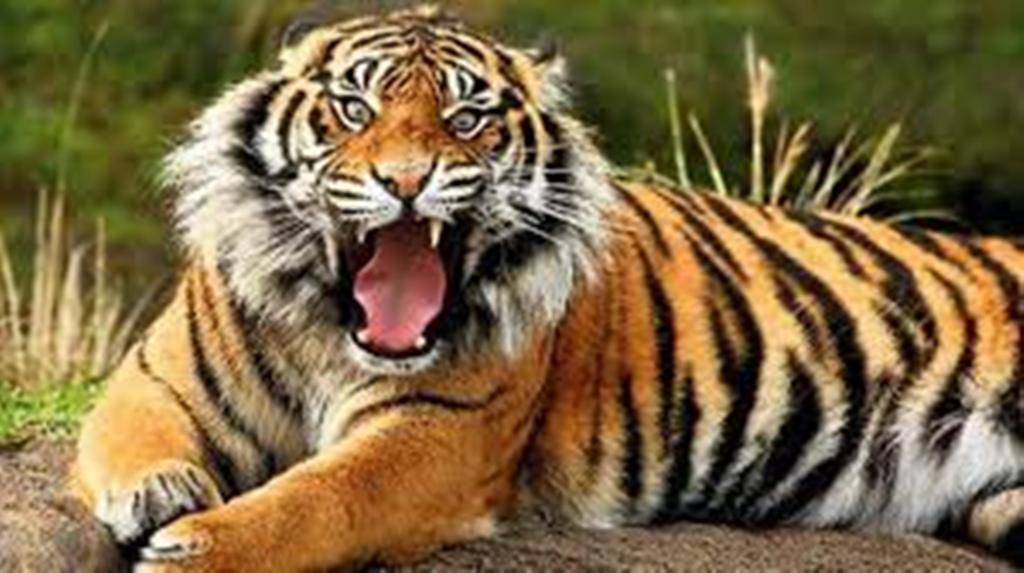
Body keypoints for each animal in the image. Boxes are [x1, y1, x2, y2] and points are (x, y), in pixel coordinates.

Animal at [72, 5, 1024, 571]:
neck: (328, 327)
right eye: (355, 110)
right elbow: (131, 437)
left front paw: (194, 546)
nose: (406, 180)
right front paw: (158, 493)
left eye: (467, 119)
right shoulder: (155, 377)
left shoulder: (434, 434)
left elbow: (317, 498)